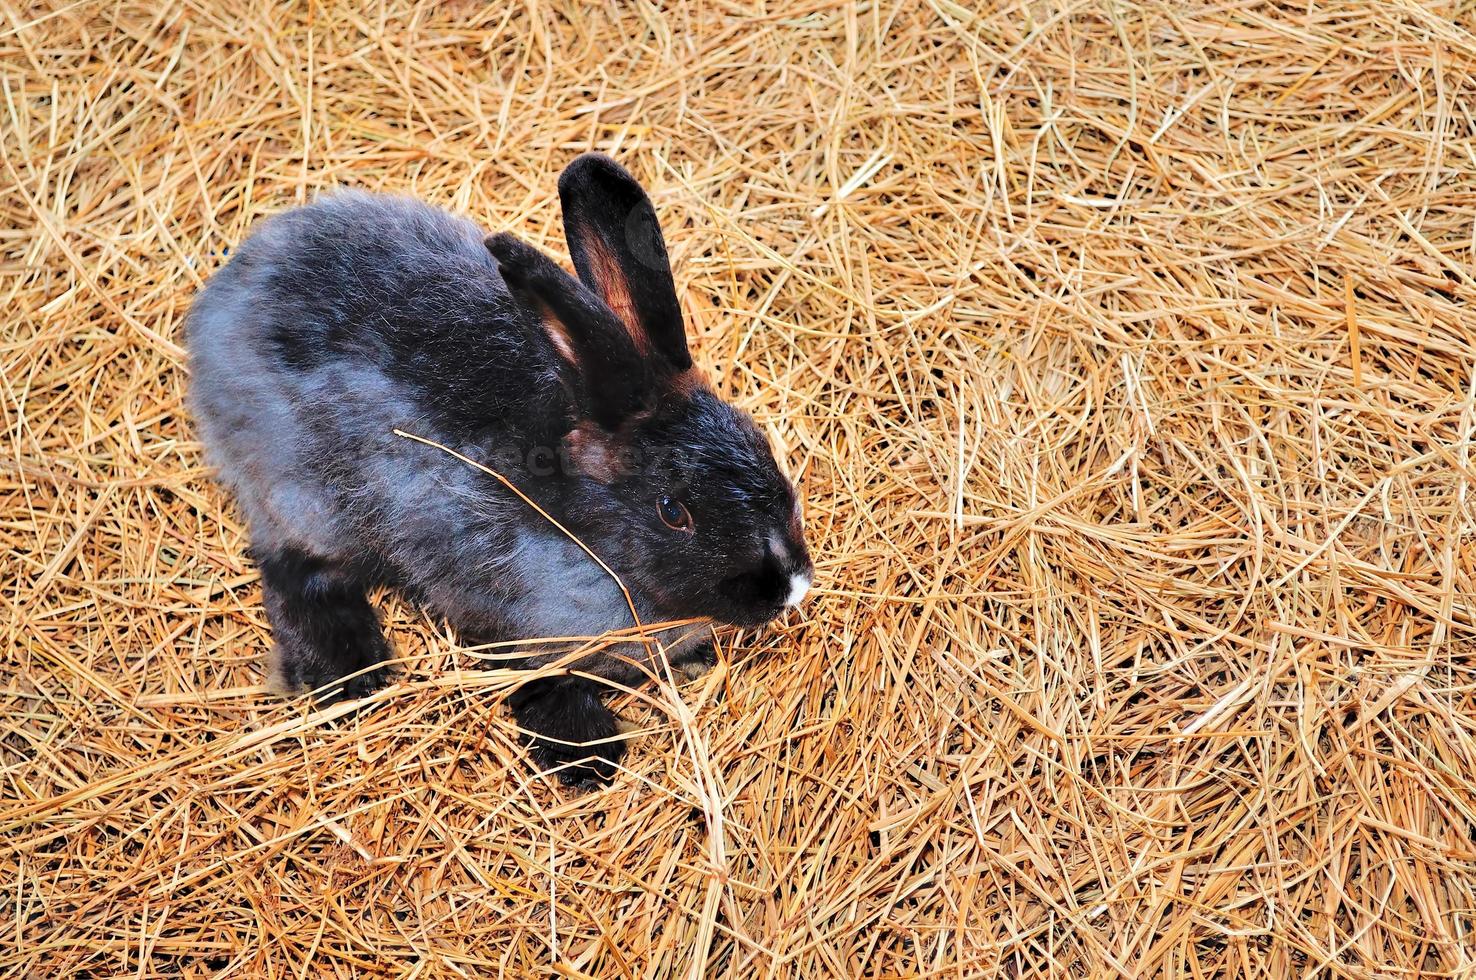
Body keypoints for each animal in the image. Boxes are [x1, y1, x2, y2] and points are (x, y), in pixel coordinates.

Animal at [184, 154, 820, 791]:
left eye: (760, 442)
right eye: (674, 511)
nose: (792, 586)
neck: (591, 542)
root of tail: (222, 306)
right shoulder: (512, 621)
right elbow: (541, 681)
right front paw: (590, 756)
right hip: (306, 501)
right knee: (294, 572)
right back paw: (352, 674)